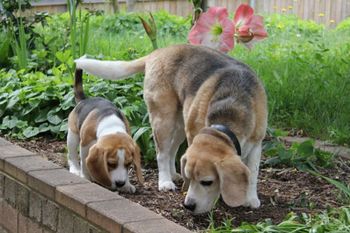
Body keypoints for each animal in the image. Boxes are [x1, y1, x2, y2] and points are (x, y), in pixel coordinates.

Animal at [74, 43, 268, 213]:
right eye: (193, 178)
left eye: (207, 182)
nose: (188, 206)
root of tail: (157, 52)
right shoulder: (193, 134)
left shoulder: (257, 145)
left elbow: (253, 173)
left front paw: (251, 199)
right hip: (164, 121)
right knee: (162, 153)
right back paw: (165, 181)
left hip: (180, 124)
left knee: (172, 151)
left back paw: (173, 174)